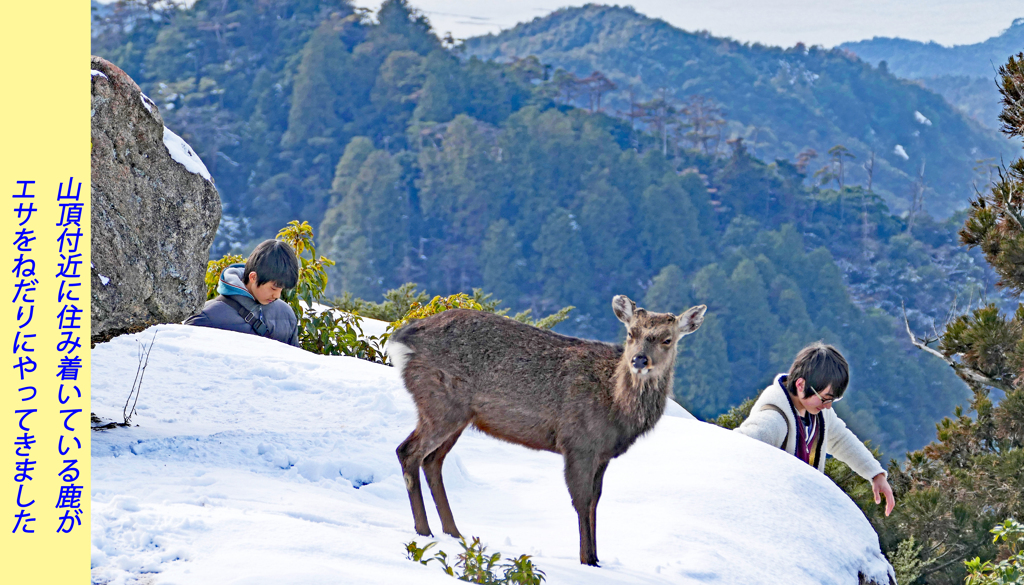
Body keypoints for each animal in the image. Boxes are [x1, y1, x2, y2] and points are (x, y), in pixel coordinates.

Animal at [387, 297, 708, 569]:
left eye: (667, 339)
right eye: (631, 333)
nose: (639, 360)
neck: (616, 408)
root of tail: (401, 339)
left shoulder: (602, 455)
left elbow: (596, 500)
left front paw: (596, 557)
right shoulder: (578, 442)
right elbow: (581, 500)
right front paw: (586, 560)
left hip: (458, 415)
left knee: (432, 461)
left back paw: (454, 533)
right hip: (440, 402)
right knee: (408, 451)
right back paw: (424, 531)